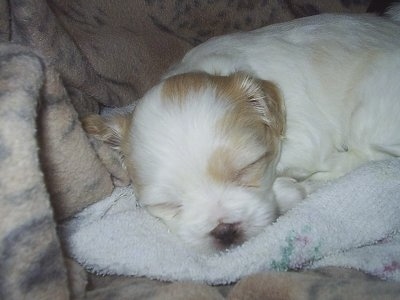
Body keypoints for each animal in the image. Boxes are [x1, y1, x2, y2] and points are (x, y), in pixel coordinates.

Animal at [81, 8, 400, 254]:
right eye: (167, 204)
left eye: (247, 169)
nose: (224, 229)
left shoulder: (307, 139)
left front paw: (288, 187)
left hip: (368, 108)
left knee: (368, 157)